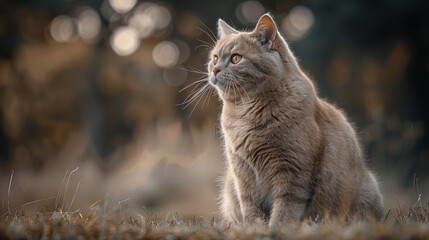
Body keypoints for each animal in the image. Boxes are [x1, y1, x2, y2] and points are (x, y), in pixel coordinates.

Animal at [206, 13, 382, 227]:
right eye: (215, 58)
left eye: (236, 59)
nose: (214, 69)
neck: (245, 112)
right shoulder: (243, 173)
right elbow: (250, 207)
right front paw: (254, 228)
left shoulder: (292, 172)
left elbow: (285, 209)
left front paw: (275, 229)